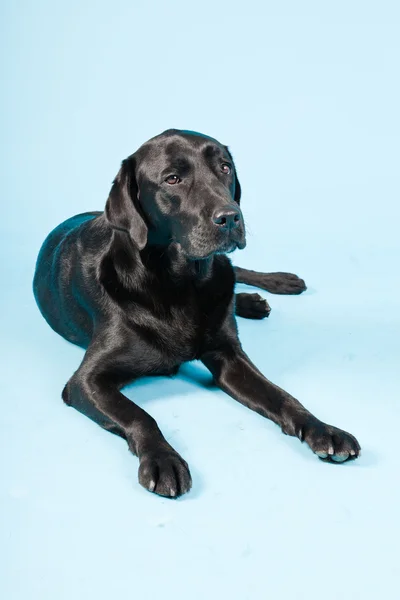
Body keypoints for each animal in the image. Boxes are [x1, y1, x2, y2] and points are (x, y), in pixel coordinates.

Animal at [32, 130, 360, 496]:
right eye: (172, 179)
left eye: (225, 168)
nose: (230, 217)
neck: (180, 283)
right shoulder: (85, 381)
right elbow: (139, 416)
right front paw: (163, 460)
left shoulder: (229, 357)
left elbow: (282, 396)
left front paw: (324, 429)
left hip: (226, 267)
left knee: (235, 270)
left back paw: (273, 286)